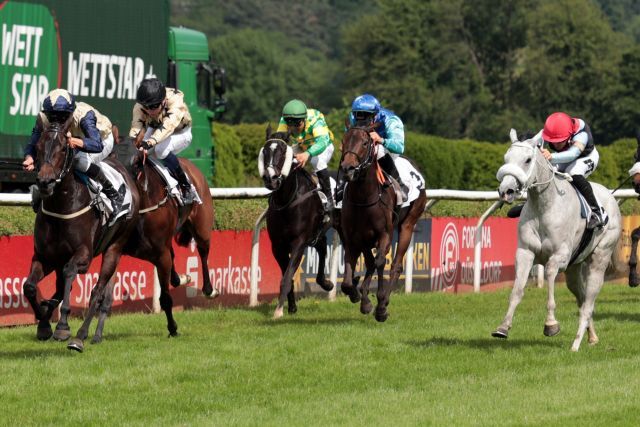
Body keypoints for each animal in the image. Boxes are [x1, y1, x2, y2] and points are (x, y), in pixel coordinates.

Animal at [23, 115, 139, 346]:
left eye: (62, 148)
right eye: (38, 147)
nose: (45, 182)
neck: (61, 205)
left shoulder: (83, 255)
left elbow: (70, 275)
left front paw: (62, 326)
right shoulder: (45, 256)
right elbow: (30, 287)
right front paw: (43, 323)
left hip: (115, 247)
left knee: (97, 292)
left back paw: (81, 335)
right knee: (62, 289)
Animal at [66, 133, 218, 352]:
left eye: (137, 162)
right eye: (111, 157)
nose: (123, 184)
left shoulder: (159, 255)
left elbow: (165, 297)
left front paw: (173, 328)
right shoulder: (118, 249)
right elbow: (105, 295)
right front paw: (95, 335)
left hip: (202, 226)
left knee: (204, 251)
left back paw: (208, 289)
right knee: (175, 259)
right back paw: (180, 278)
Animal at [258, 125, 336, 320]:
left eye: (283, 152)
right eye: (265, 151)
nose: (271, 179)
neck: (287, 200)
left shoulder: (299, 243)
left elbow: (287, 276)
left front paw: (278, 310)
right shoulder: (277, 245)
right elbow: (288, 276)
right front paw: (291, 307)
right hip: (317, 232)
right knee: (322, 247)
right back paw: (326, 283)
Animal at [338, 125, 428, 322]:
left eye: (365, 142)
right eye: (343, 140)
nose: (347, 168)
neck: (364, 198)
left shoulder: (384, 234)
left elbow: (380, 262)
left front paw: (379, 306)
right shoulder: (354, 238)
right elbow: (348, 279)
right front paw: (359, 297)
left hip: (408, 224)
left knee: (395, 265)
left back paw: (384, 302)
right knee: (372, 262)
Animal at [496, 129, 620, 352]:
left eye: (527, 160)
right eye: (506, 158)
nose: (506, 190)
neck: (545, 205)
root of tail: (610, 196)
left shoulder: (559, 256)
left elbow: (550, 276)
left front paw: (551, 324)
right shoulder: (525, 252)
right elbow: (517, 290)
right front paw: (503, 326)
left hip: (599, 258)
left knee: (588, 303)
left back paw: (576, 343)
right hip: (574, 268)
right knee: (581, 298)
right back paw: (592, 336)